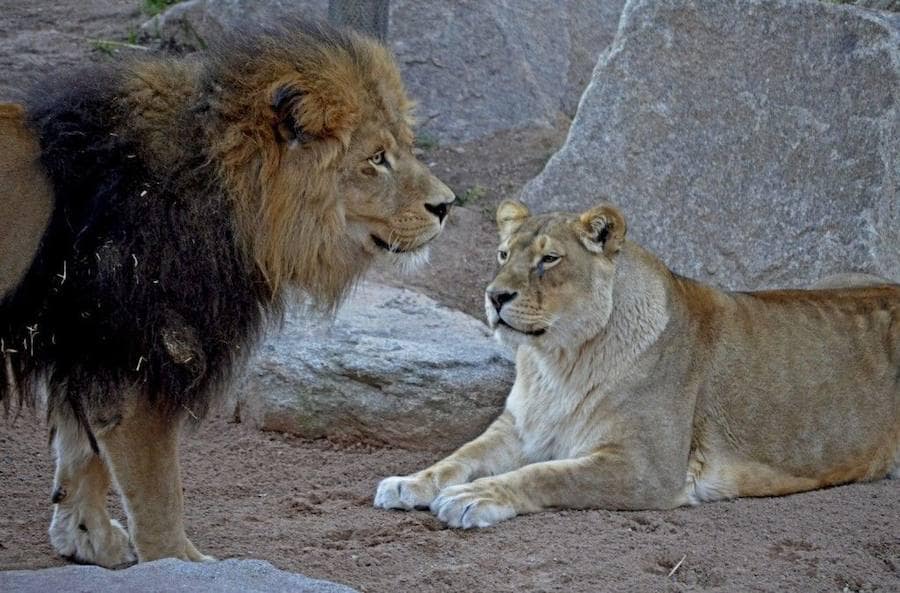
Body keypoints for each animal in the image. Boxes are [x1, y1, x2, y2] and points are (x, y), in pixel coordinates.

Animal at [3, 19, 458, 564]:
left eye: (405, 147)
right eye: (376, 159)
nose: (447, 206)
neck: (225, 191)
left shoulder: (91, 349)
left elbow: (81, 450)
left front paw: (87, 538)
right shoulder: (144, 361)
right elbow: (160, 494)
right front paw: (179, 565)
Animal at [374, 200, 900, 528]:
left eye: (549, 259)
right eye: (502, 254)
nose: (495, 295)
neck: (558, 361)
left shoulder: (649, 468)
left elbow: (546, 474)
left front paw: (476, 497)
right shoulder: (518, 429)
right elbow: (458, 457)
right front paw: (408, 484)